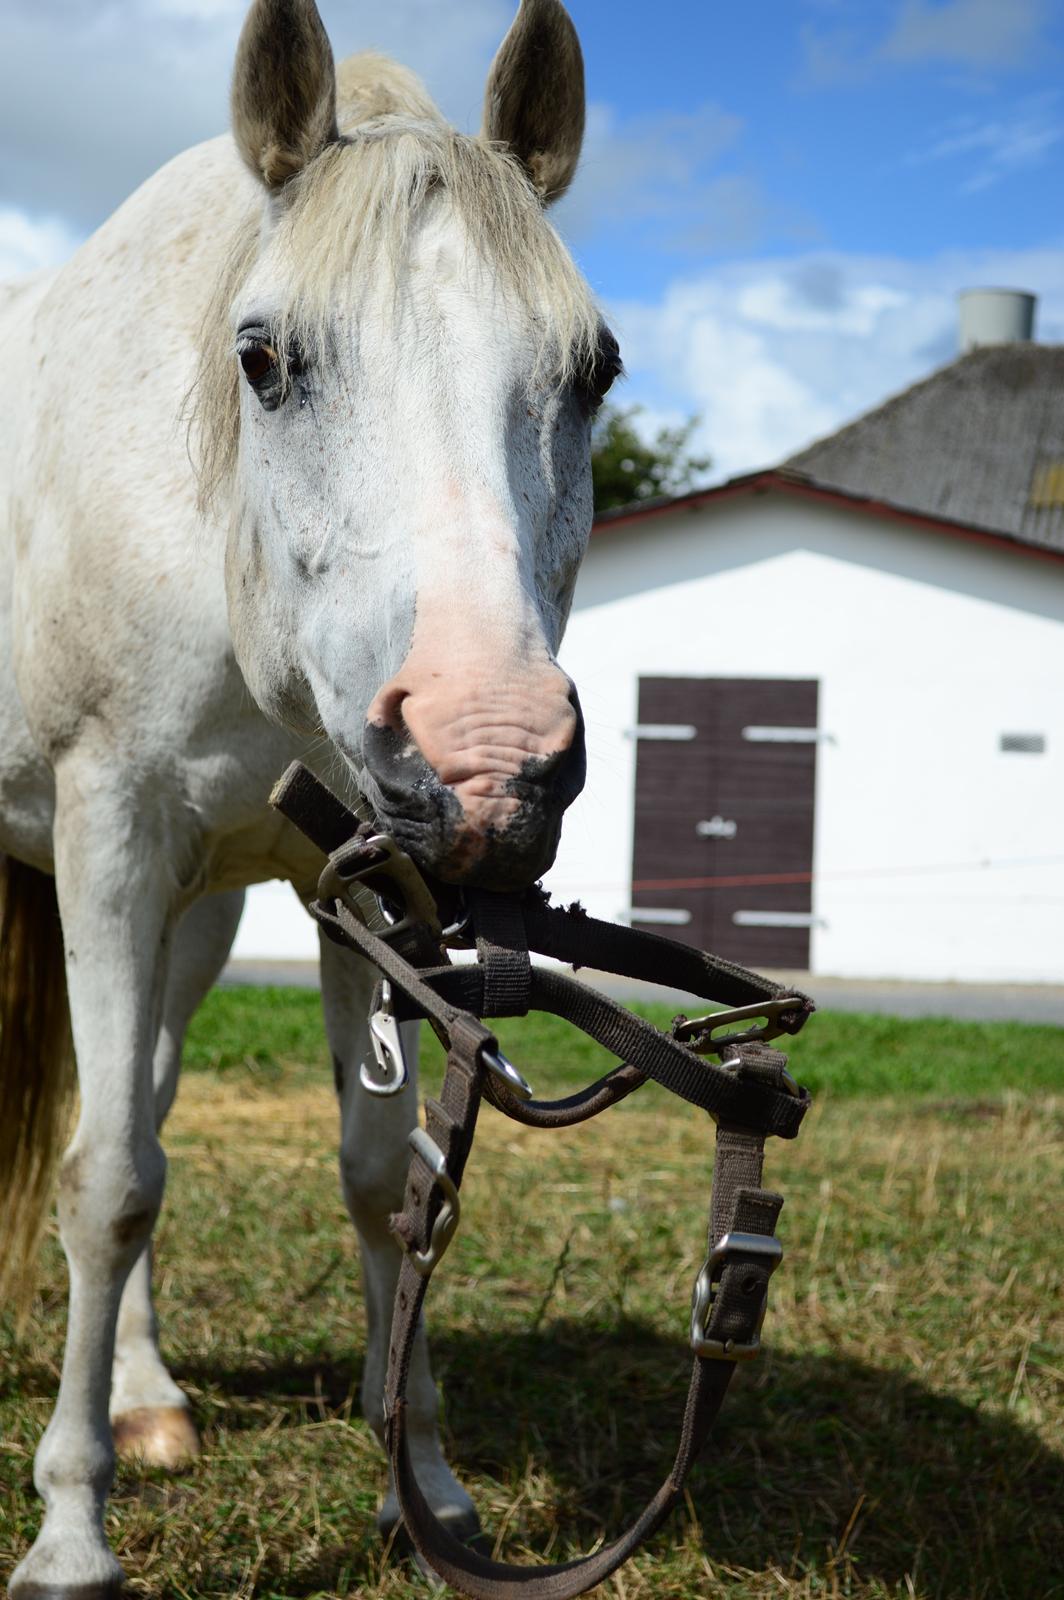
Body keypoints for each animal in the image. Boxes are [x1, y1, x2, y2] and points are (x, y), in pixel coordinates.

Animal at [0, 6, 617, 1593]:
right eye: (265, 358)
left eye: (594, 370)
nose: (487, 759)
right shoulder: (105, 836)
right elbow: (105, 1178)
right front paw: (72, 1530)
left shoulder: (361, 881)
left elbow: (377, 1172)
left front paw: (429, 1491)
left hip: (196, 917)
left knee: (151, 1092)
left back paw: (151, 1396)